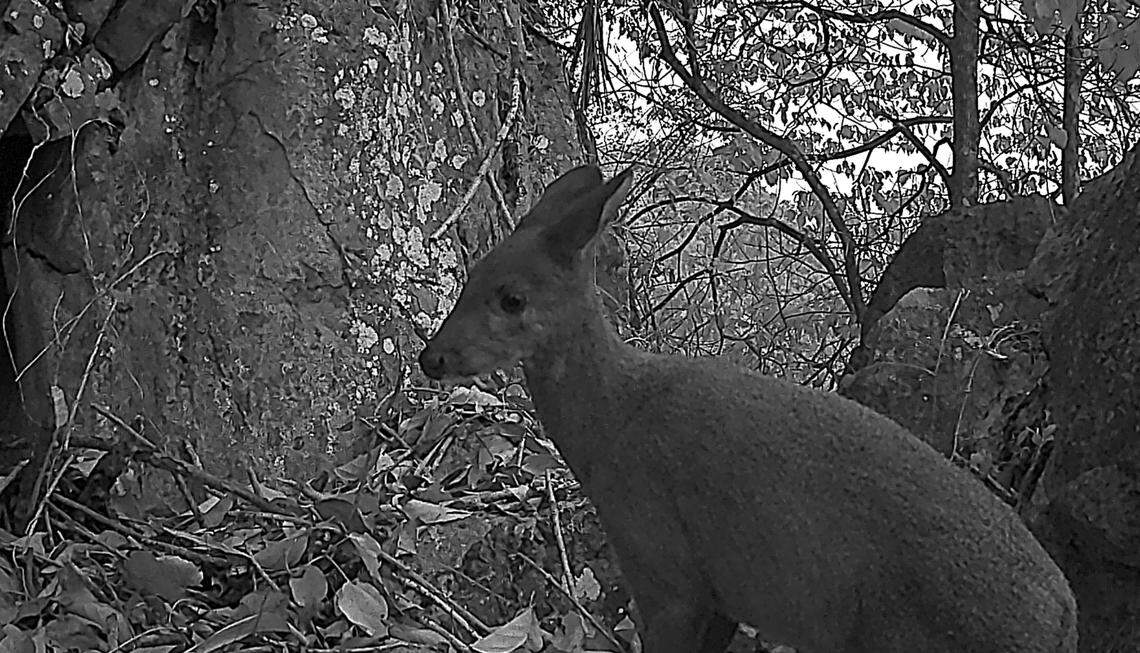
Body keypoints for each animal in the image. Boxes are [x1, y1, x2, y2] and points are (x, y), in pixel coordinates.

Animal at [419, 166, 1078, 653]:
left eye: (512, 298)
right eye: (469, 275)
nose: (432, 358)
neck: (610, 426)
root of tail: (1064, 617)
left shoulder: (665, 568)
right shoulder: (721, 596)